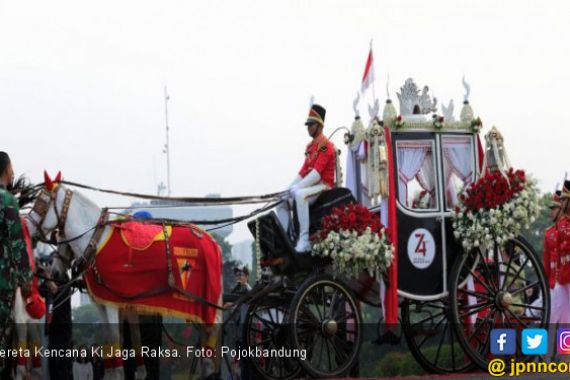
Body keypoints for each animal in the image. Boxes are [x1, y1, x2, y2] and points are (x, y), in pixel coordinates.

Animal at [27, 173, 222, 380]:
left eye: (41, 204)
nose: (55, 273)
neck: (96, 238)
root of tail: (212, 242)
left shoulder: (113, 303)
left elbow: (115, 341)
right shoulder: (103, 304)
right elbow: (110, 343)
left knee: (212, 330)